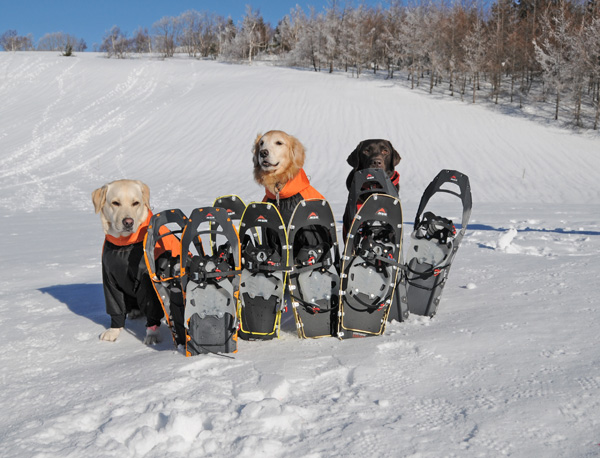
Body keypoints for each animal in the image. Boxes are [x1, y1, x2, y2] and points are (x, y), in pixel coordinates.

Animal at [91, 179, 163, 344]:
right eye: (115, 203)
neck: (124, 245)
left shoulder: (148, 283)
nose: (128, 222)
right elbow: (116, 308)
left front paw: (152, 335)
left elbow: (153, 311)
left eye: (135, 203)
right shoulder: (109, 279)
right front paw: (113, 331)